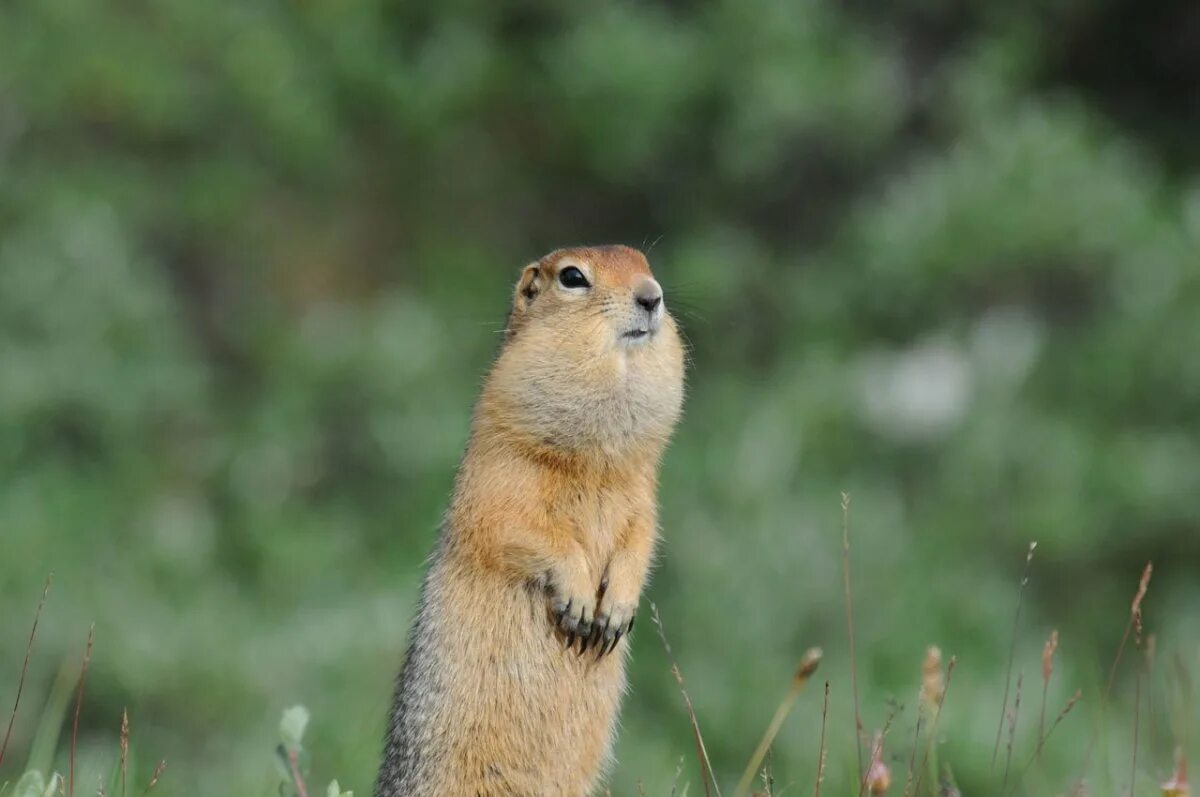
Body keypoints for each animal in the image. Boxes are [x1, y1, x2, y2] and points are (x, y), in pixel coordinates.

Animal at [369, 246, 691, 792]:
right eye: (573, 277)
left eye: (645, 262)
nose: (653, 296)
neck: (596, 461)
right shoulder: (500, 478)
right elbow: (515, 529)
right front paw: (579, 598)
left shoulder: (643, 495)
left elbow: (641, 538)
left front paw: (617, 608)